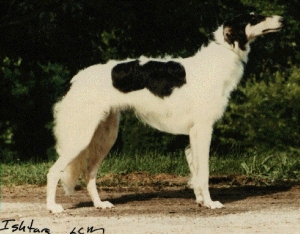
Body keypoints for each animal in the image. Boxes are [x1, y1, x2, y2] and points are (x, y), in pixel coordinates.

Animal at [47, 13, 284, 214]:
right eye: (255, 18)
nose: (282, 19)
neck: (218, 60)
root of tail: (76, 79)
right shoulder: (203, 129)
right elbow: (204, 173)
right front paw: (210, 203)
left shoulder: (193, 134)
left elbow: (196, 172)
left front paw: (200, 201)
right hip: (81, 137)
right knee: (53, 172)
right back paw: (53, 207)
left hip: (105, 135)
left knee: (89, 173)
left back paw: (99, 204)